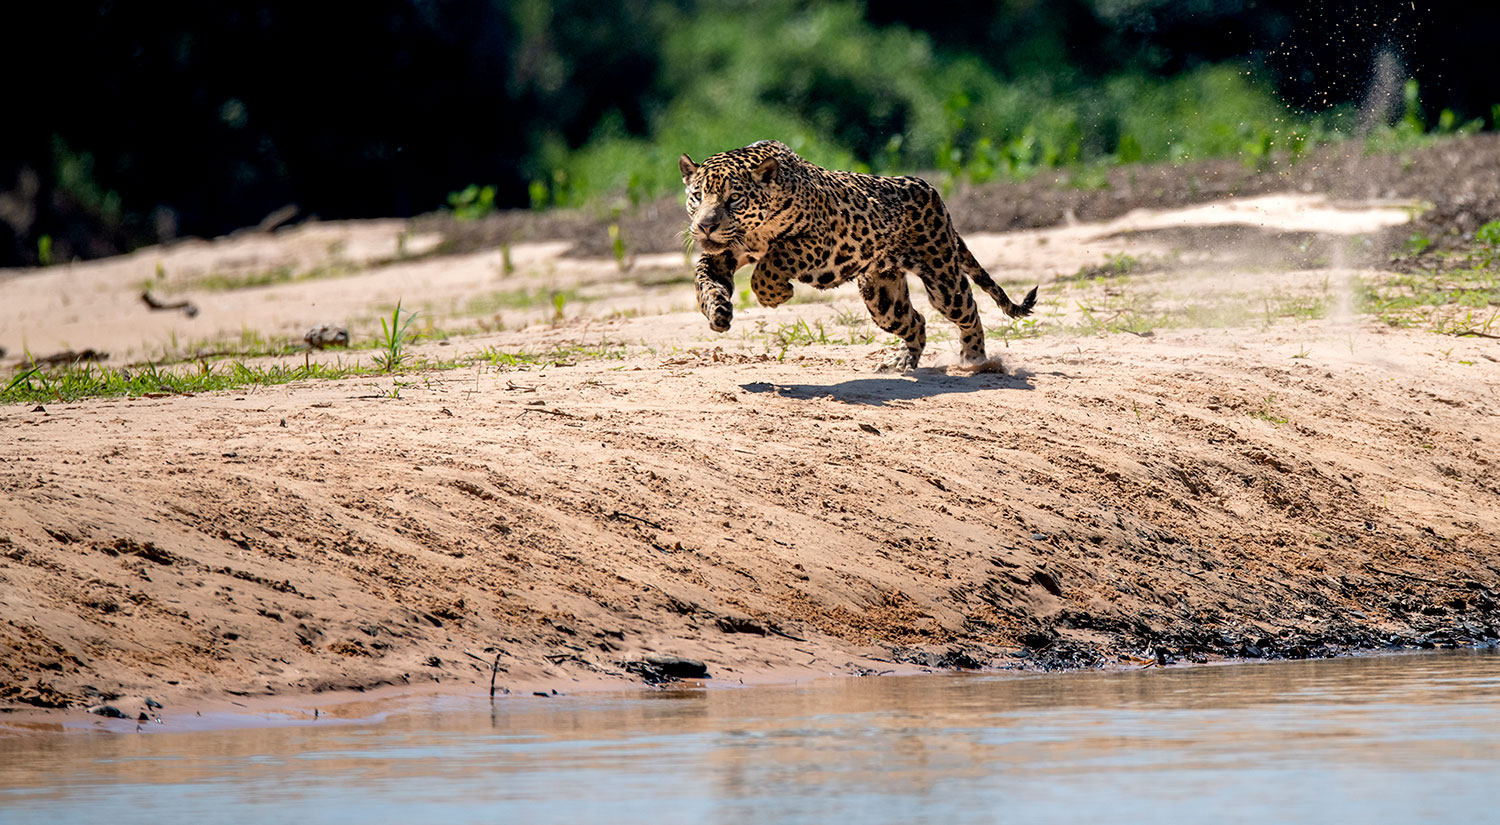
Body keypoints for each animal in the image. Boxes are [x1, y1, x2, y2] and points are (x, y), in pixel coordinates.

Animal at [679, 140, 1038, 372]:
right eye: (697, 196)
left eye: (734, 199)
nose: (706, 226)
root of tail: (932, 191)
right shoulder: (722, 255)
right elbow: (703, 279)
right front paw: (717, 311)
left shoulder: (820, 241)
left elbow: (777, 257)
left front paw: (774, 294)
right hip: (882, 298)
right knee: (916, 320)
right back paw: (902, 362)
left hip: (943, 278)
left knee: (969, 310)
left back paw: (975, 360)